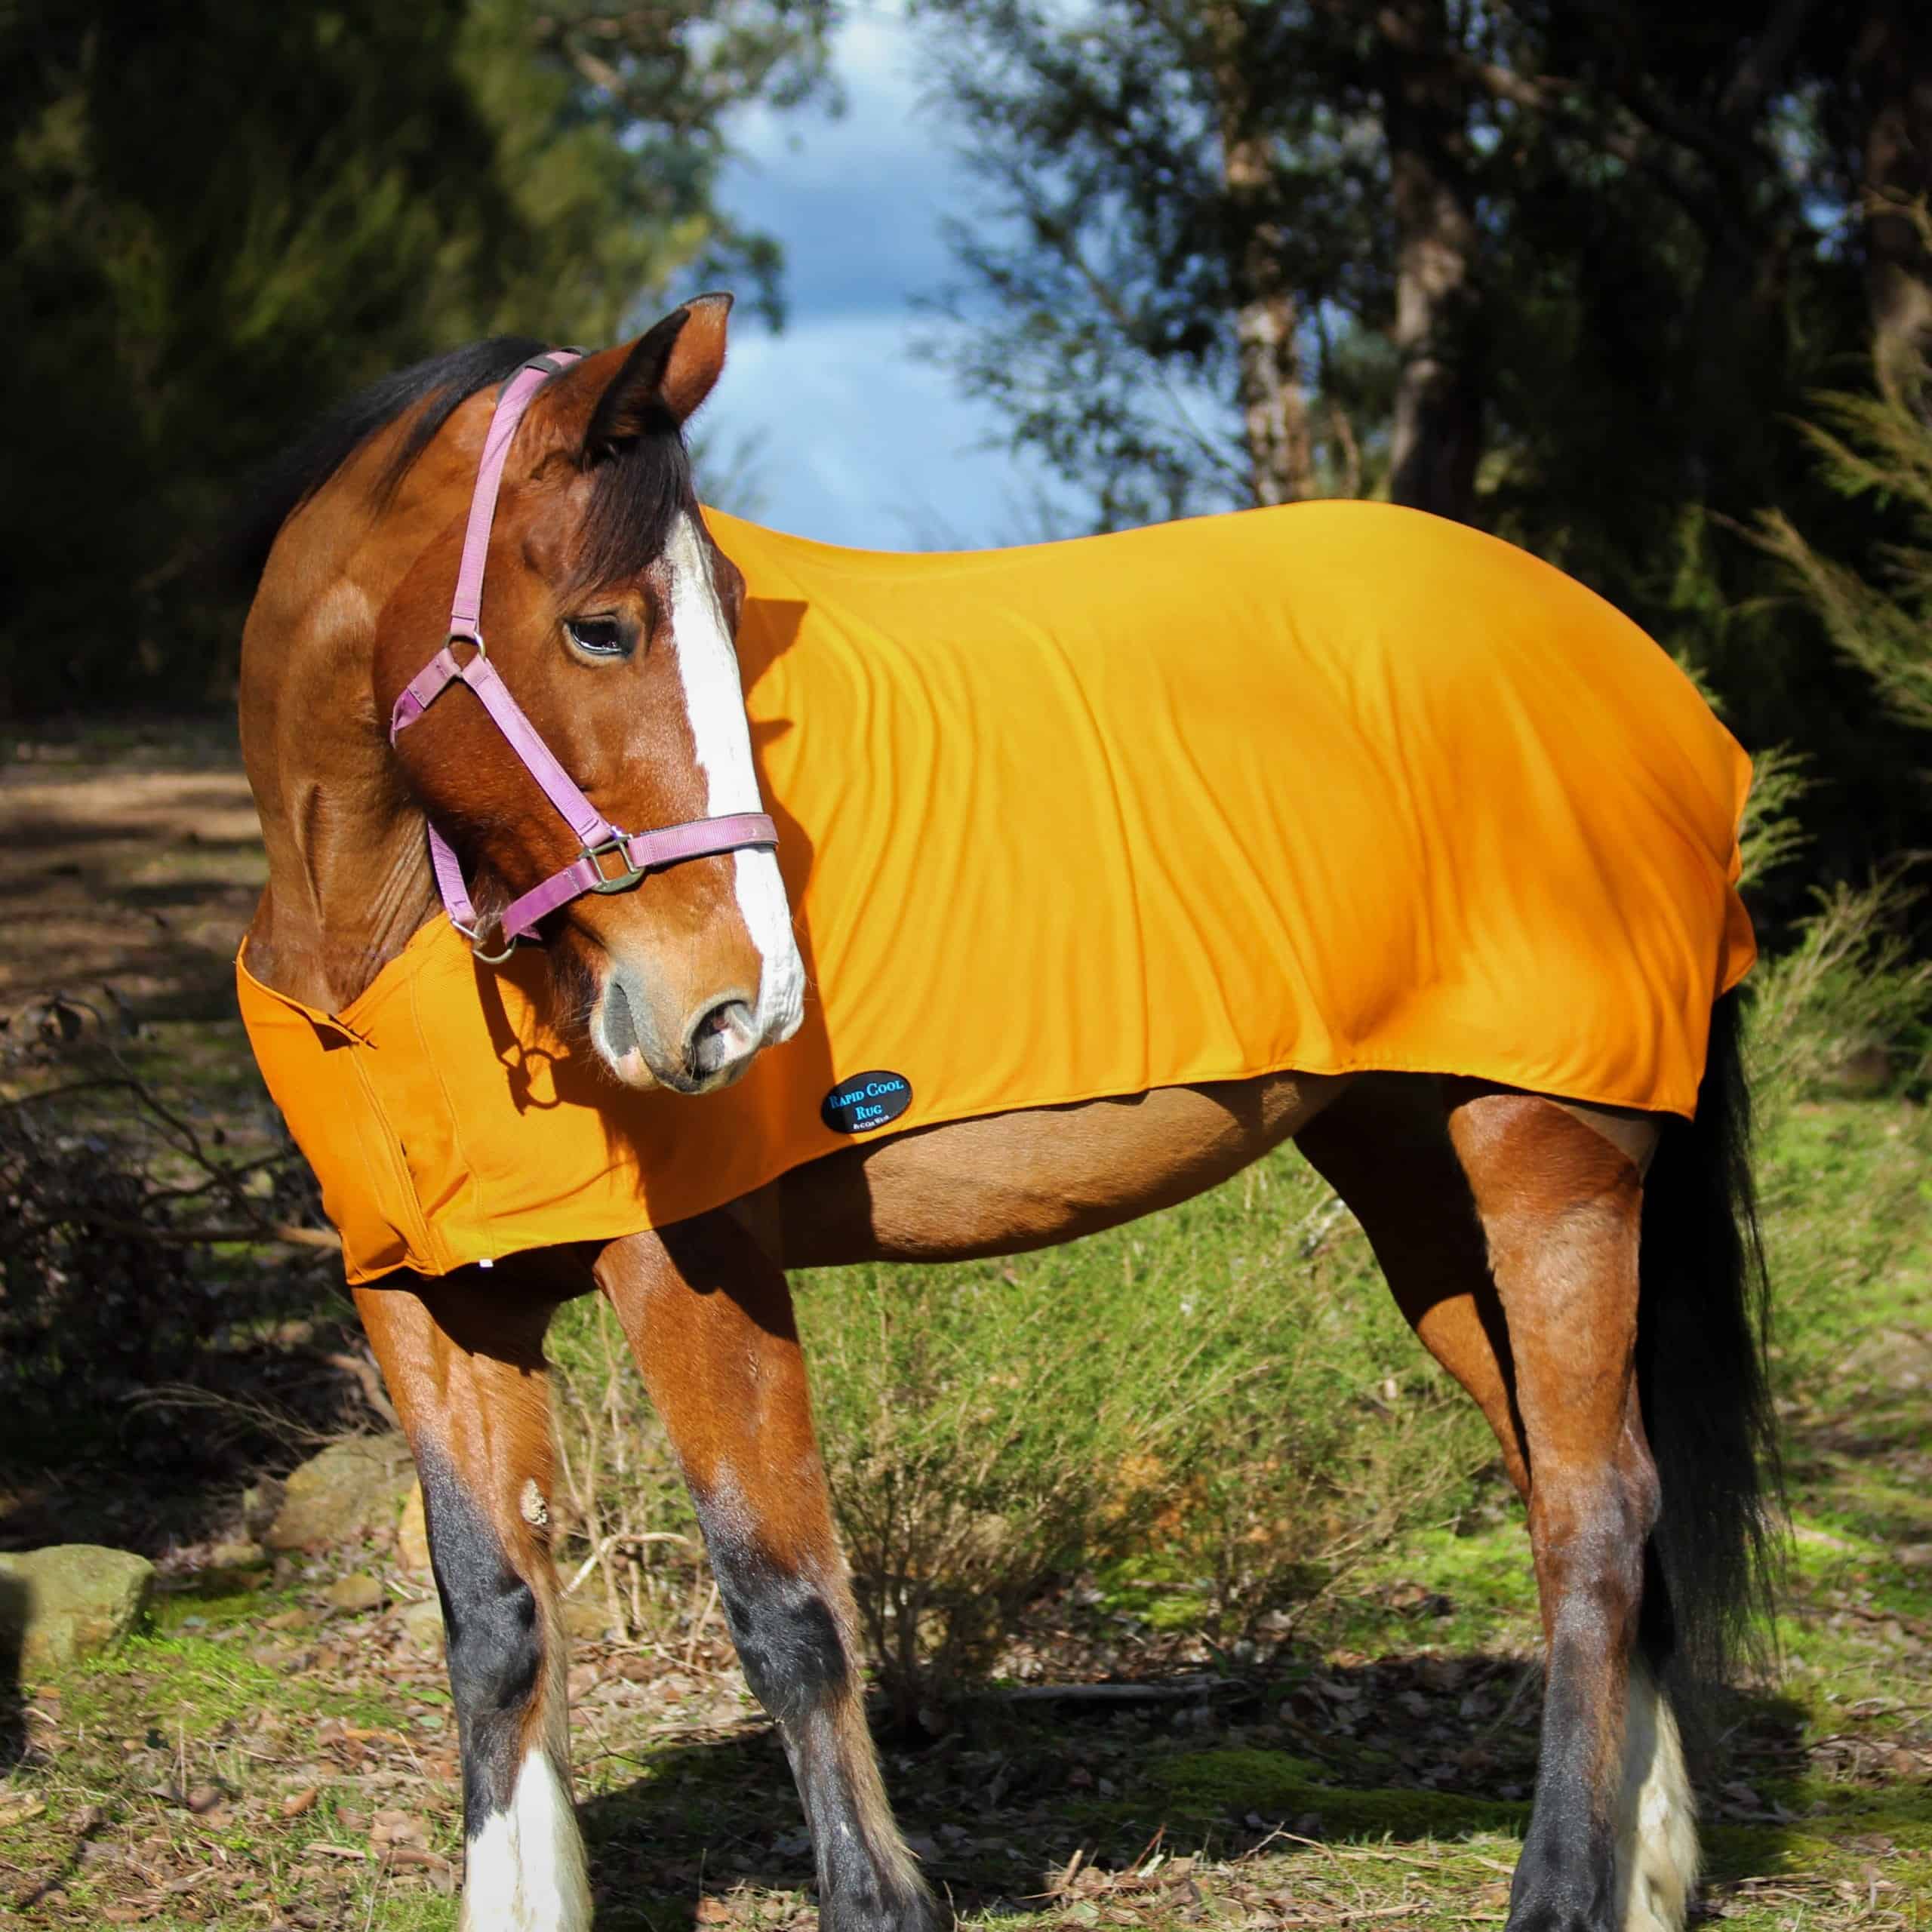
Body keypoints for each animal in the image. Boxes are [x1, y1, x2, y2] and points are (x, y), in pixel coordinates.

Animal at [233, 296, 1776, 1932]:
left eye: (728, 624)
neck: (375, 956)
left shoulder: (693, 1267)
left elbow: (785, 1608)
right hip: (1417, 1183)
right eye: (603, 625)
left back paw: (1563, 1886)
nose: (740, 1010)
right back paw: (1648, 1867)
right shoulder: (427, 1303)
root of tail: (1644, 676)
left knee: (1597, 1520)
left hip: (1548, 1159)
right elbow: (495, 1621)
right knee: (1586, 1501)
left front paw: (878, 1900)